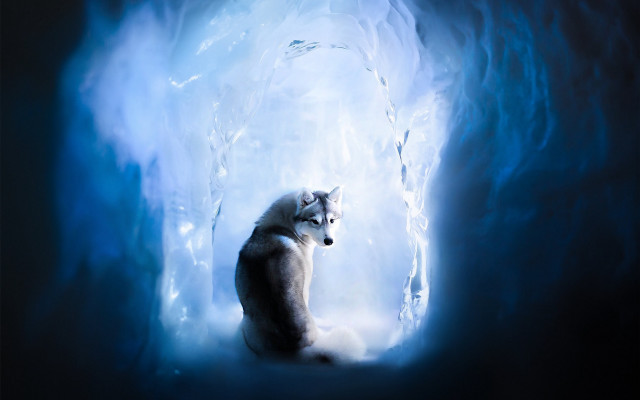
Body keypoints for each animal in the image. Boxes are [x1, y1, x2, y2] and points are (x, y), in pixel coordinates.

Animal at [235, 186, 365, 363]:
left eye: (332, 220)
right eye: (315, 221)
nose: (329, 241)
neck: (282, 227)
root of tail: (294, 349)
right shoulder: (306, 286)